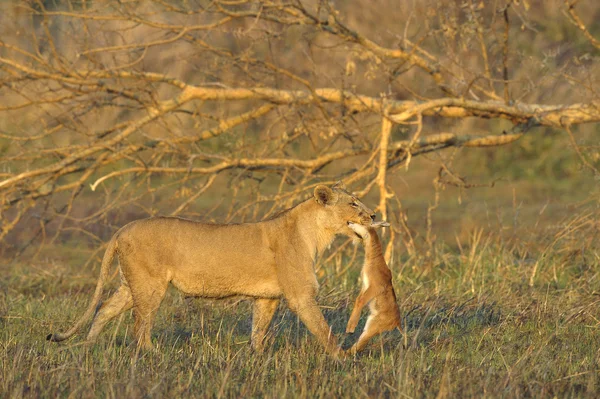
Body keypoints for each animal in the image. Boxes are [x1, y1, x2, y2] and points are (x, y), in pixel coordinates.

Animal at [346, 222, 404, 354]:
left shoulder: (376, 286)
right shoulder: (365, 285)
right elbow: (358, 299)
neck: (375, 260)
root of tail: (397, 322)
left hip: (371, 328)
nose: (349, 222)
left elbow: (360, 300)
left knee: (359, 346)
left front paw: (350, 328)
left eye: (362, 223)